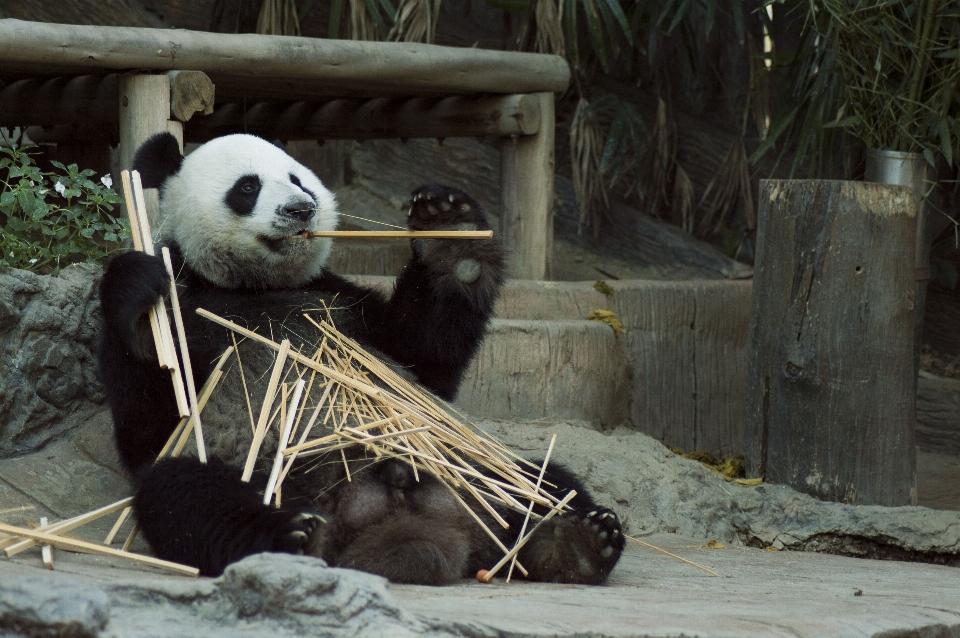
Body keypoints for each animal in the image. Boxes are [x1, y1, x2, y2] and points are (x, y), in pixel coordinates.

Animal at [97, 134, 624, 584]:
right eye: (247, 187)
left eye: (298, 179)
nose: (300, 209)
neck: (254, 285)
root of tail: (392, 521)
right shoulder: (192, 307)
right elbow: (150, 424)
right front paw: (138, 290)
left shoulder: (340, 302)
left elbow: (424, 358)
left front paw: (451, 229)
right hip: (274, 474)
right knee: (185, 495)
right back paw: (293, 537)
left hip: (466, 459)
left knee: (540, 479)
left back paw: (574, 541)